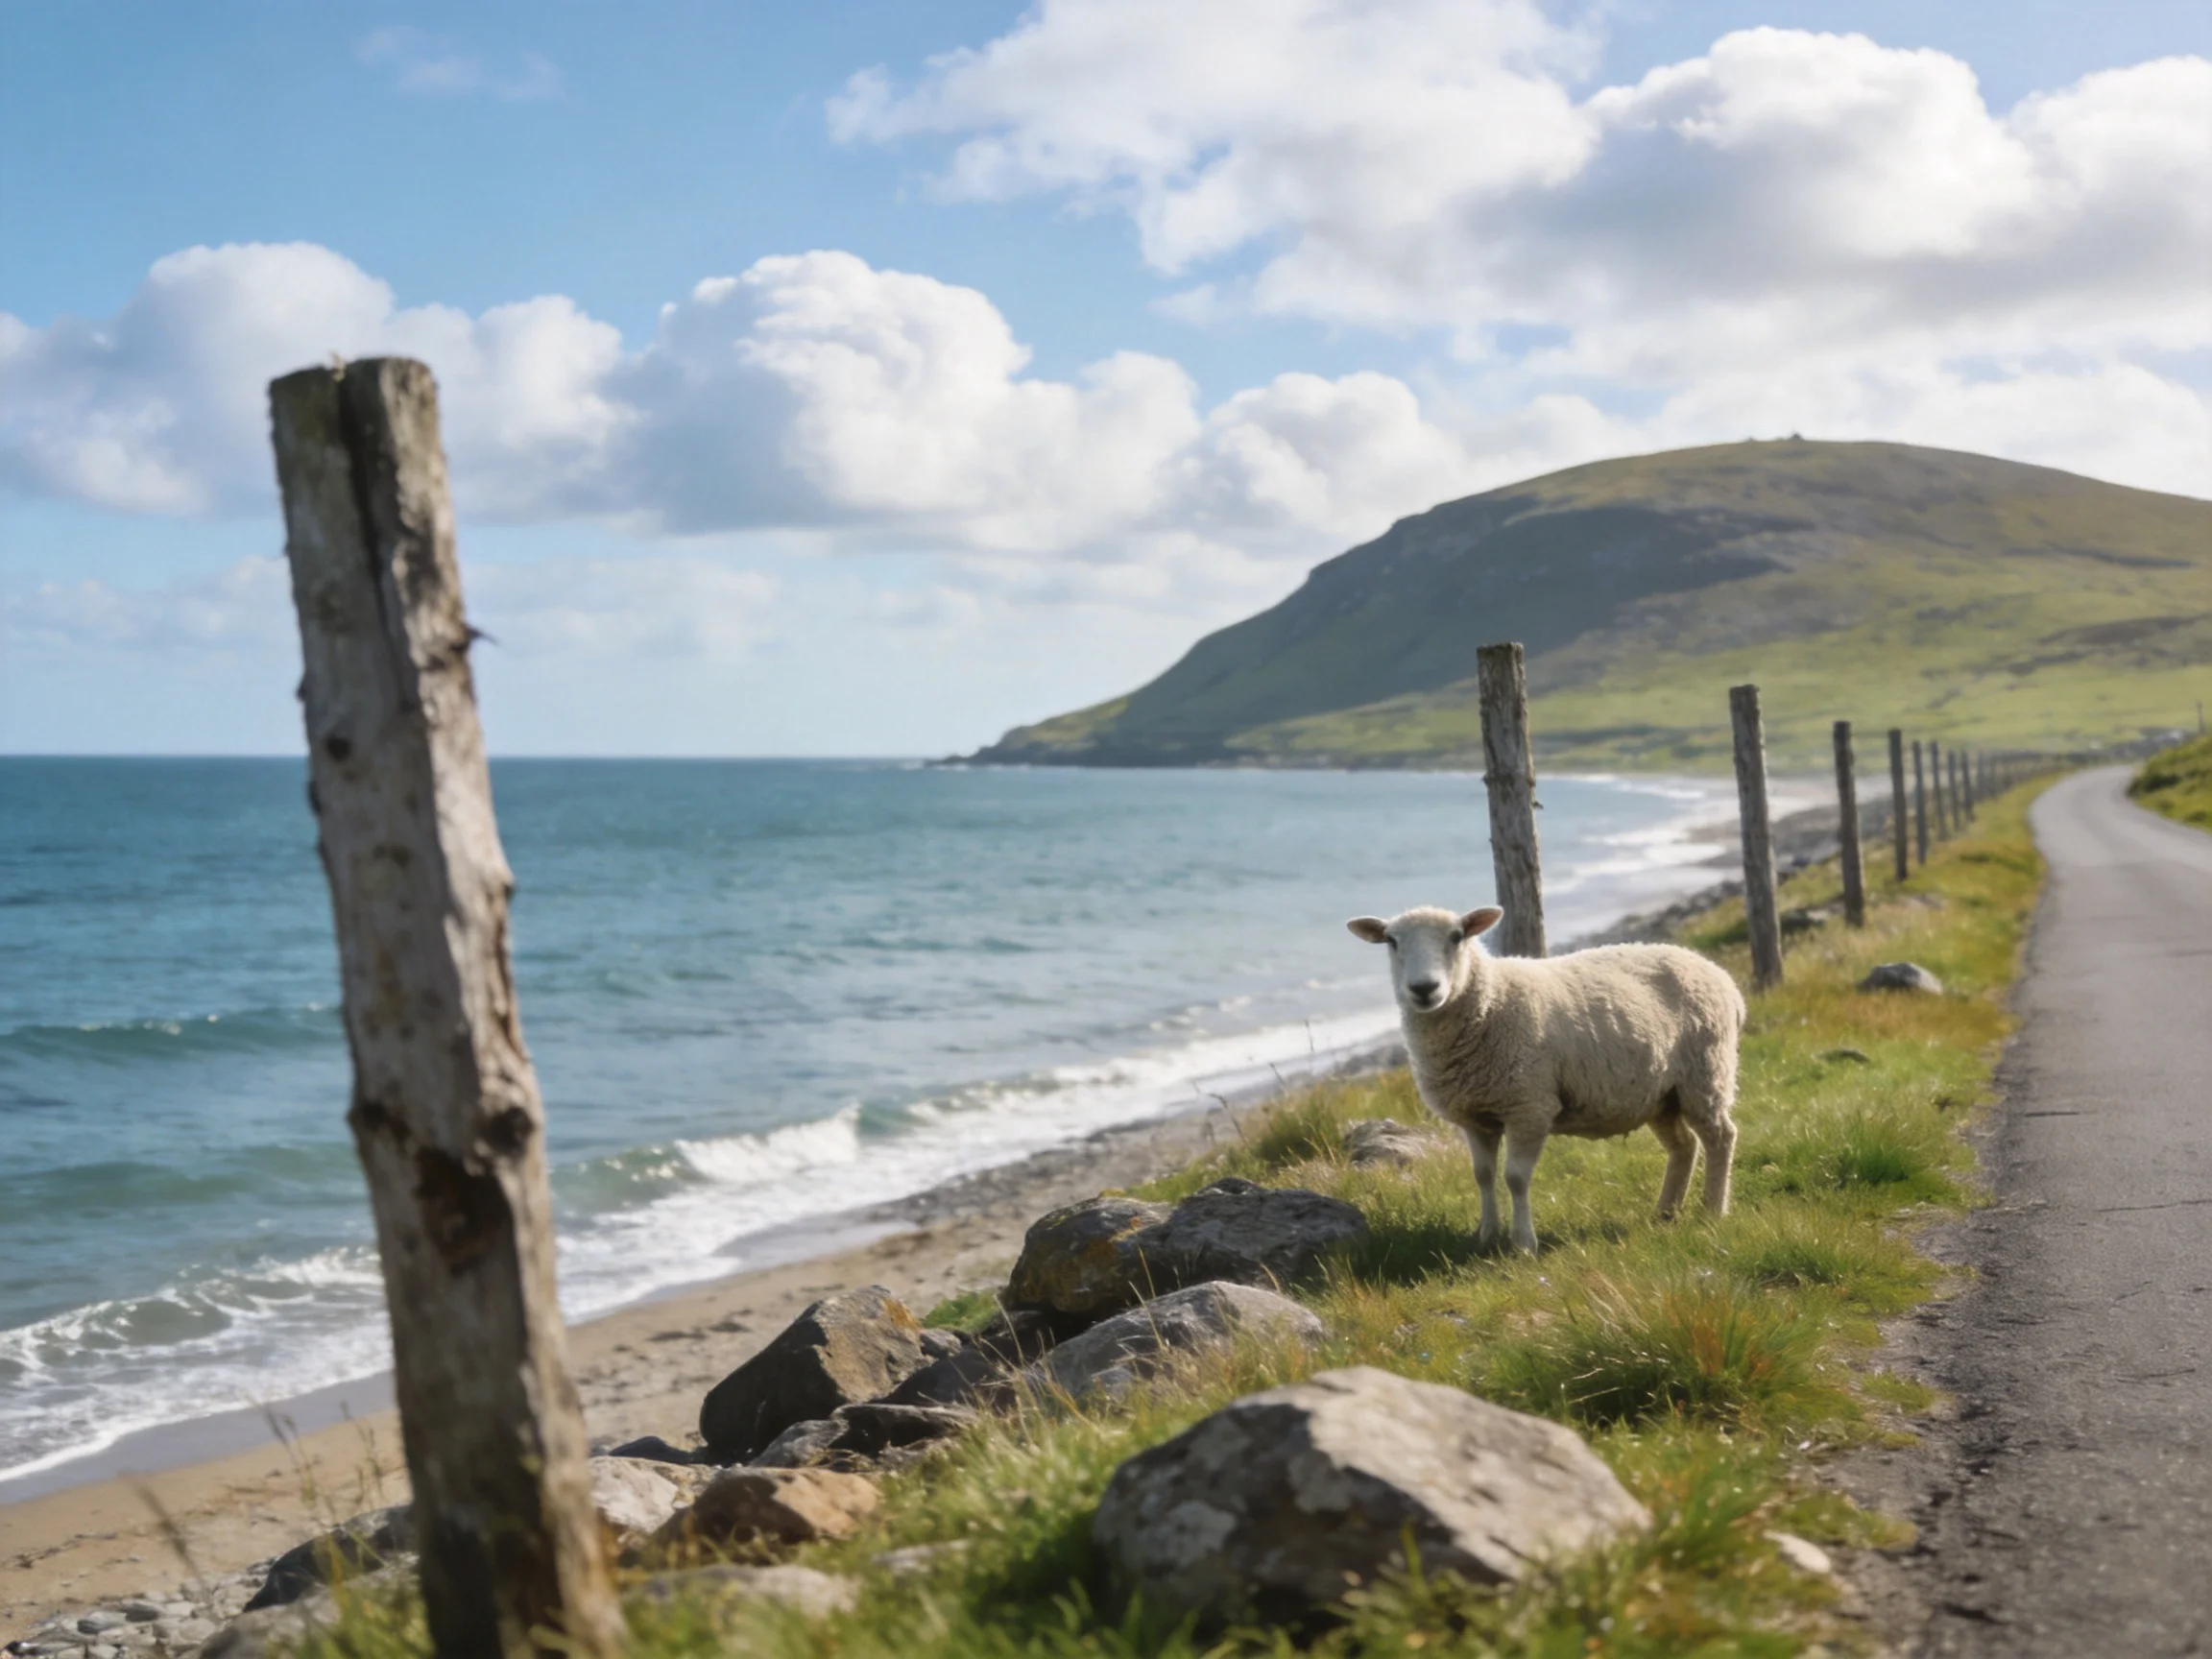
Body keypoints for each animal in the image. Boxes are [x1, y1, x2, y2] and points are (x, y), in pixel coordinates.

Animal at [1346, 905, 1746, 1254]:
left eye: (1457, 936)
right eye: (1391, 941)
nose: (1424, 988)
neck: (1489, 1001)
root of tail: (1721, 976)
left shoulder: (1529, 1106)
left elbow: (1515, 1178)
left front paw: (1524, 1244)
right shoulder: (1476, 1117)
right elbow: (1483, 1175)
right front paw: (1486, 1236)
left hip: (1705, 1074)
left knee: (1720, 1137)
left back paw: (1713, 1210)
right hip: (1661, 1095)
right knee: (1684, 1146)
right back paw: (1665, 1212)